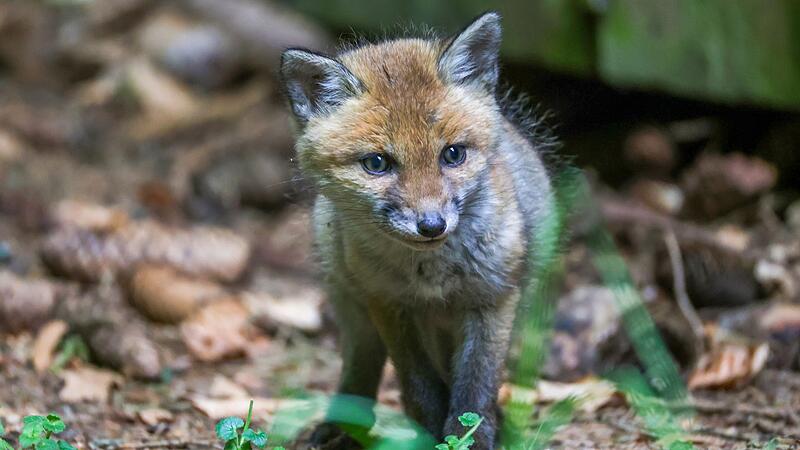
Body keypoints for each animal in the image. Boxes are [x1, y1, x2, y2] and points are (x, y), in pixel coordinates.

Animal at [279, 11, 555, 450]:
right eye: (377, 163)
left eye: (453, 155)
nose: (431, 225)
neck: (431, 274)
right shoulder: (388, 302)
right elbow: (420, 385)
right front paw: (428, 431)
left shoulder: (493, 298)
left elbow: (475, 388)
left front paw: (469, 438)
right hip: (353, 304)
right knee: (361, 368)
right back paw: (343, 428)